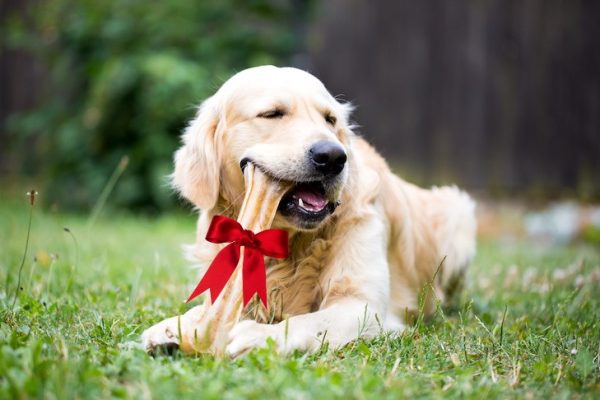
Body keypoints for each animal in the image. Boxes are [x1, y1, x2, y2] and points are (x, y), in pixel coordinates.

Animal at [142, 65, 478, 356]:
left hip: (458, 214)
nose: (333, 156)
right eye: (272, 114)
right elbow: (206, 308)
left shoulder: (363, 306)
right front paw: (173, 327)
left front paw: (259, 335)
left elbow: (308, 321)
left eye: (329, 119)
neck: (286, 243)